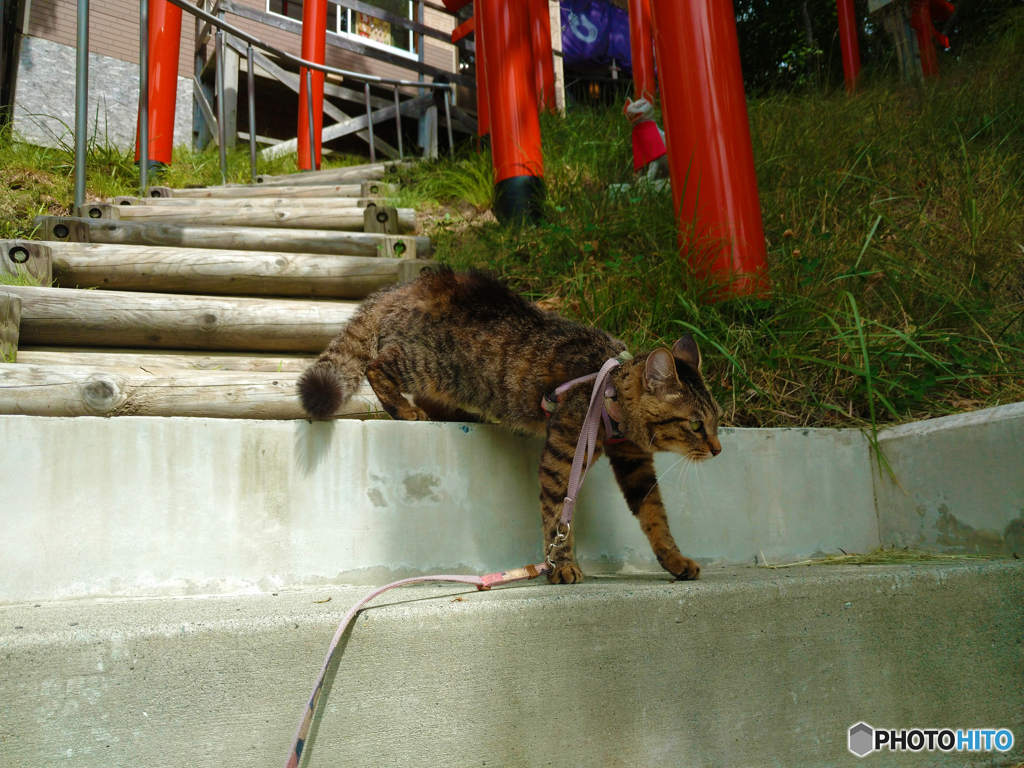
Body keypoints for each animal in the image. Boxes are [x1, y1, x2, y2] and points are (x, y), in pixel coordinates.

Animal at [299, 268, 724, 585]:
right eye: (695, 424)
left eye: (718, 420)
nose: (719, 449)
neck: (610, 395)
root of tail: (409, 284)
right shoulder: (563, 456)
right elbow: (557, 515)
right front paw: (562, 565)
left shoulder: (635, 464)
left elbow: (655, 515)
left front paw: (674, 559)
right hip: (429, 364)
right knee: (378, 366)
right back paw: (405, 411)